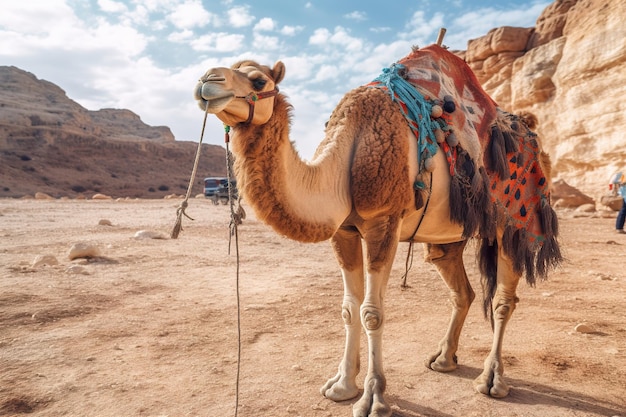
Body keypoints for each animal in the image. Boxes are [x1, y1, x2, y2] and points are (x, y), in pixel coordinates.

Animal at [193, 43, 560, 416]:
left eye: (257, 80)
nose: (207, 79)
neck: (345, 160)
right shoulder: (344, 232)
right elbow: (348, 308)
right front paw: (341, 385)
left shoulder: (383, 221)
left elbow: (371, 312)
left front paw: (373, 398)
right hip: (449, 236)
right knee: (461, 290)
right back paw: (443, 359)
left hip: (515, 221)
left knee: (503, 299)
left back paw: (491, 380)